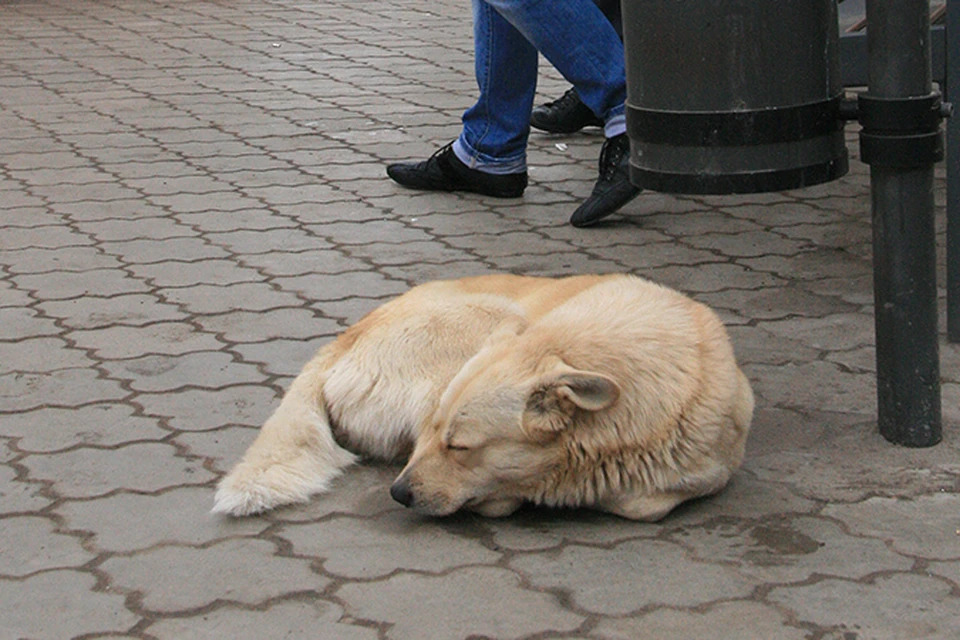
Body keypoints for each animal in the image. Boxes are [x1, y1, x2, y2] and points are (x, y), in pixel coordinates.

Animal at [214, 272, 752, 524]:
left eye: (460, 447)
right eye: (443, 438)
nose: (399, 495)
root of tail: (341, 342)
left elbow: (645, 503)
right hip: (494, 315)